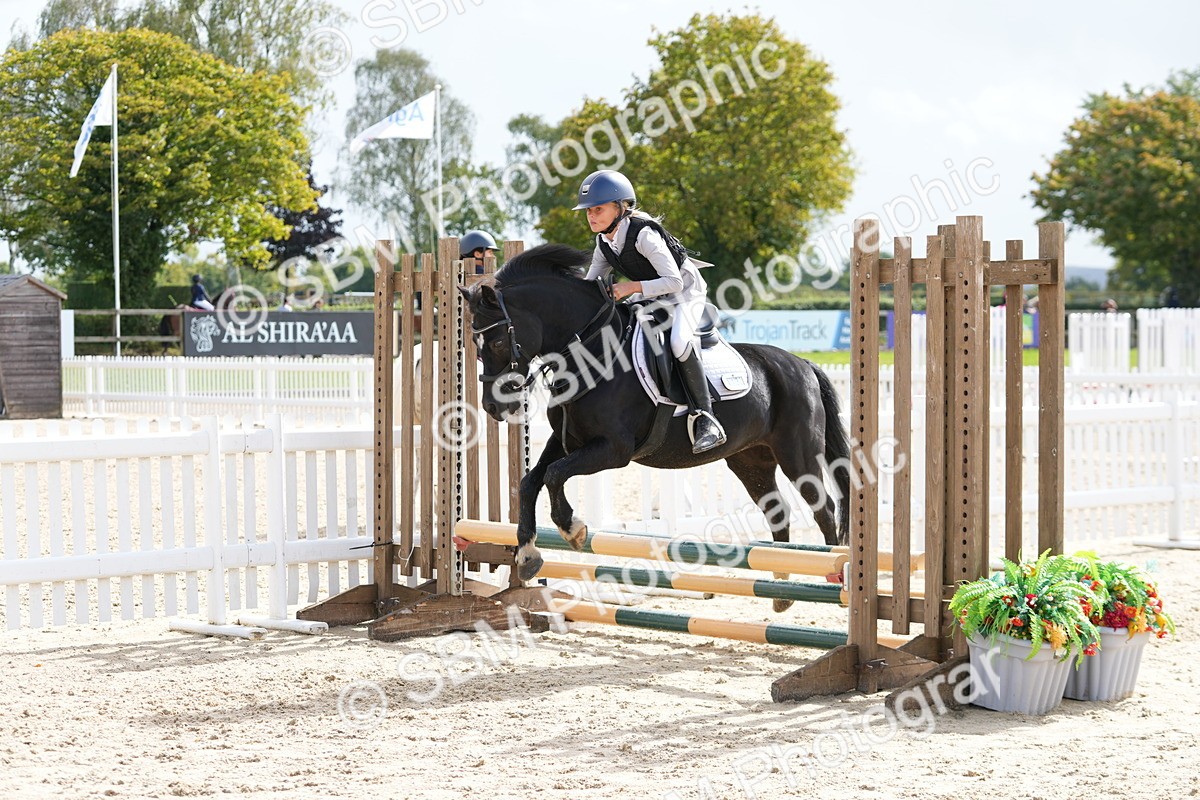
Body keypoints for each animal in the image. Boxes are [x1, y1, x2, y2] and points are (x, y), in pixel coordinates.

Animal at [460, 244, 852, 612]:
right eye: (475, 346)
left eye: (498, 341)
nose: (494, 407)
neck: (592, 352)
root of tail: (802, 363)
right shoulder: (567, 439)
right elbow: (531, 482)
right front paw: (528, 555)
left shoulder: (613, 449)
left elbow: (555, 475)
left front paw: (573, 530)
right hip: (751, 461)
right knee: (777, 511)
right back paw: (782, 590)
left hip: (798, 455)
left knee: (824, 510)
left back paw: (831, 582)